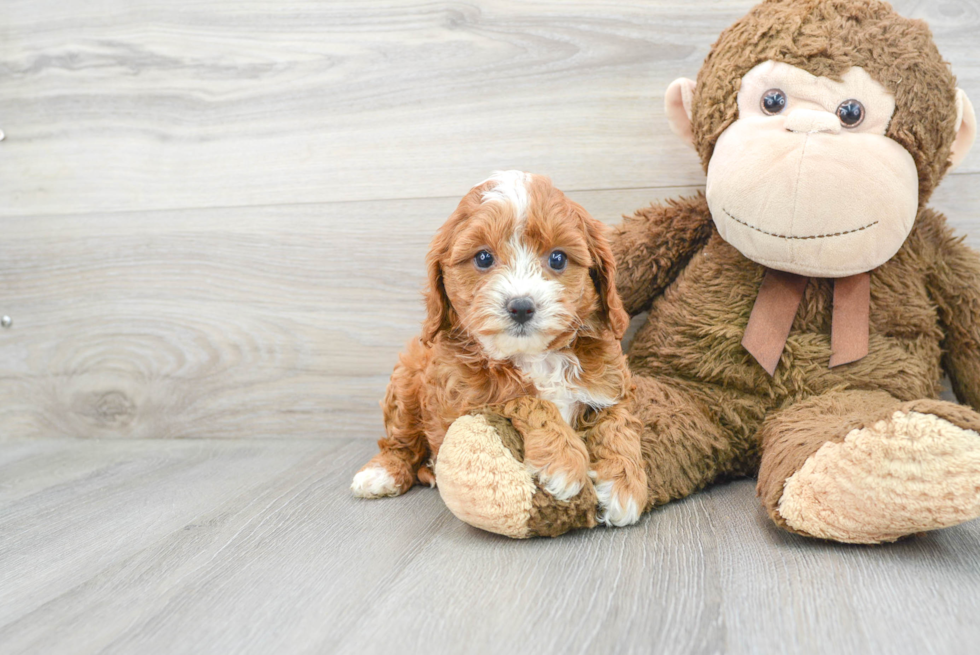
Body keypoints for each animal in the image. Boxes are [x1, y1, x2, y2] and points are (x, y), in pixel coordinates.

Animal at [348, 170, 648, 528]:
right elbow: (528, 400)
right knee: (400, 440)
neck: (535, 356)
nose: (521, 307)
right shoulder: (474, 400)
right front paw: (564, 462)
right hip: (407, 378)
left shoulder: (613, 384)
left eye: (558, 258)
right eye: (483, 258)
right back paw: (382, 473)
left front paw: (624, 484)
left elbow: (618, 422)